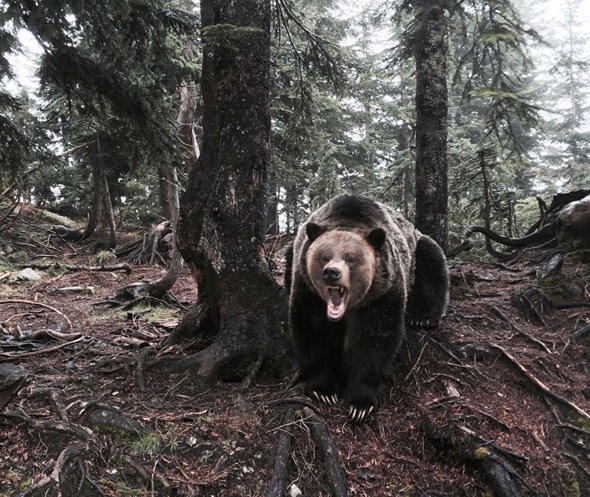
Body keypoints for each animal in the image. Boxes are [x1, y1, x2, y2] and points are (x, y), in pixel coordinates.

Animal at [286, 196, 448, 420]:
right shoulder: (308, 288)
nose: (331, 273)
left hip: (416, 250)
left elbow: (373, 339)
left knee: (432, 261)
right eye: (324, 256)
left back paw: (423, 317)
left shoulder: (382, 291)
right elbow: (312, 330)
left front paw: (361, 403)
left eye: (351, 259)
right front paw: (324, 390)